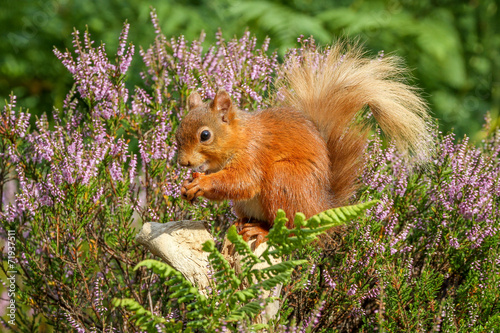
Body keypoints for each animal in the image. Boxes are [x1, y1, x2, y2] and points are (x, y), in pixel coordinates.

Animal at [175, 42, 430, 244]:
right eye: (177, 133)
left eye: (205, 135)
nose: (183, 163)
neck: (238, 137)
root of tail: (320, 209)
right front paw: (188, 186)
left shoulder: (254, 153)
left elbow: (242, 181)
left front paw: (203, 183)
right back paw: (242, 223)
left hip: (285, 180)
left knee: (289, 230)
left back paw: (262, 232)